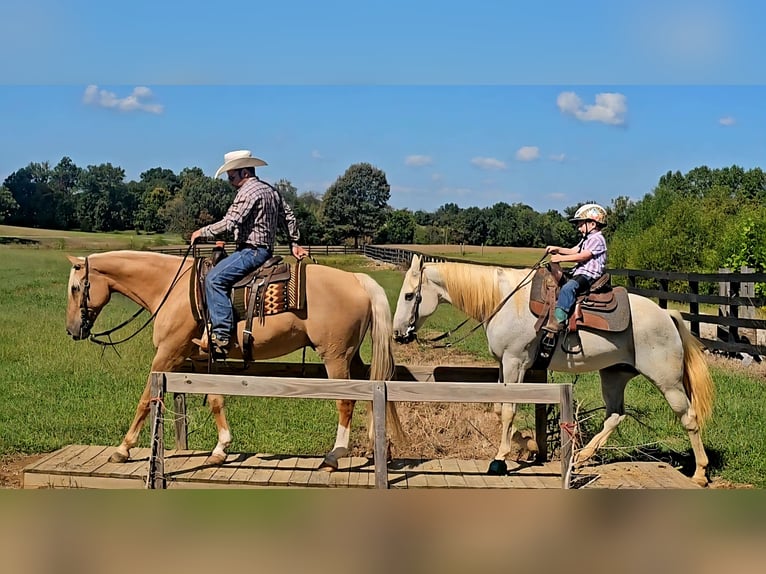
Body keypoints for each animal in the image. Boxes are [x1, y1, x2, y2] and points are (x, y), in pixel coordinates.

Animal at [65, 249, 404, 468]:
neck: (171, 288)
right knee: (371, 389)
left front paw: (122, 449)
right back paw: (379, 448)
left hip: (335, 356)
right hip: (352, 355)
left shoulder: (166, 355)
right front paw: (220, 448)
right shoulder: (205, 359)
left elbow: (146, 399)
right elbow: (216, 400)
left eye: (75, 288)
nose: (72, 330)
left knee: (346, 401)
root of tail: (357, 279)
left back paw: (335, 455)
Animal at [392, 255, 714, 486]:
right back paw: (582, 457)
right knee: (615, 415)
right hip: (614, 375)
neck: (504, 301)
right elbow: (498, 408)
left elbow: (508, 411)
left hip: (667, 381)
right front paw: (529, 444)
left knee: (689, 418)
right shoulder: (504, 364)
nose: (397, 334)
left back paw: (700, 473)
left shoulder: (515, 362)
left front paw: (500, 459)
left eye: (408, 296)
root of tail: (667, 315)